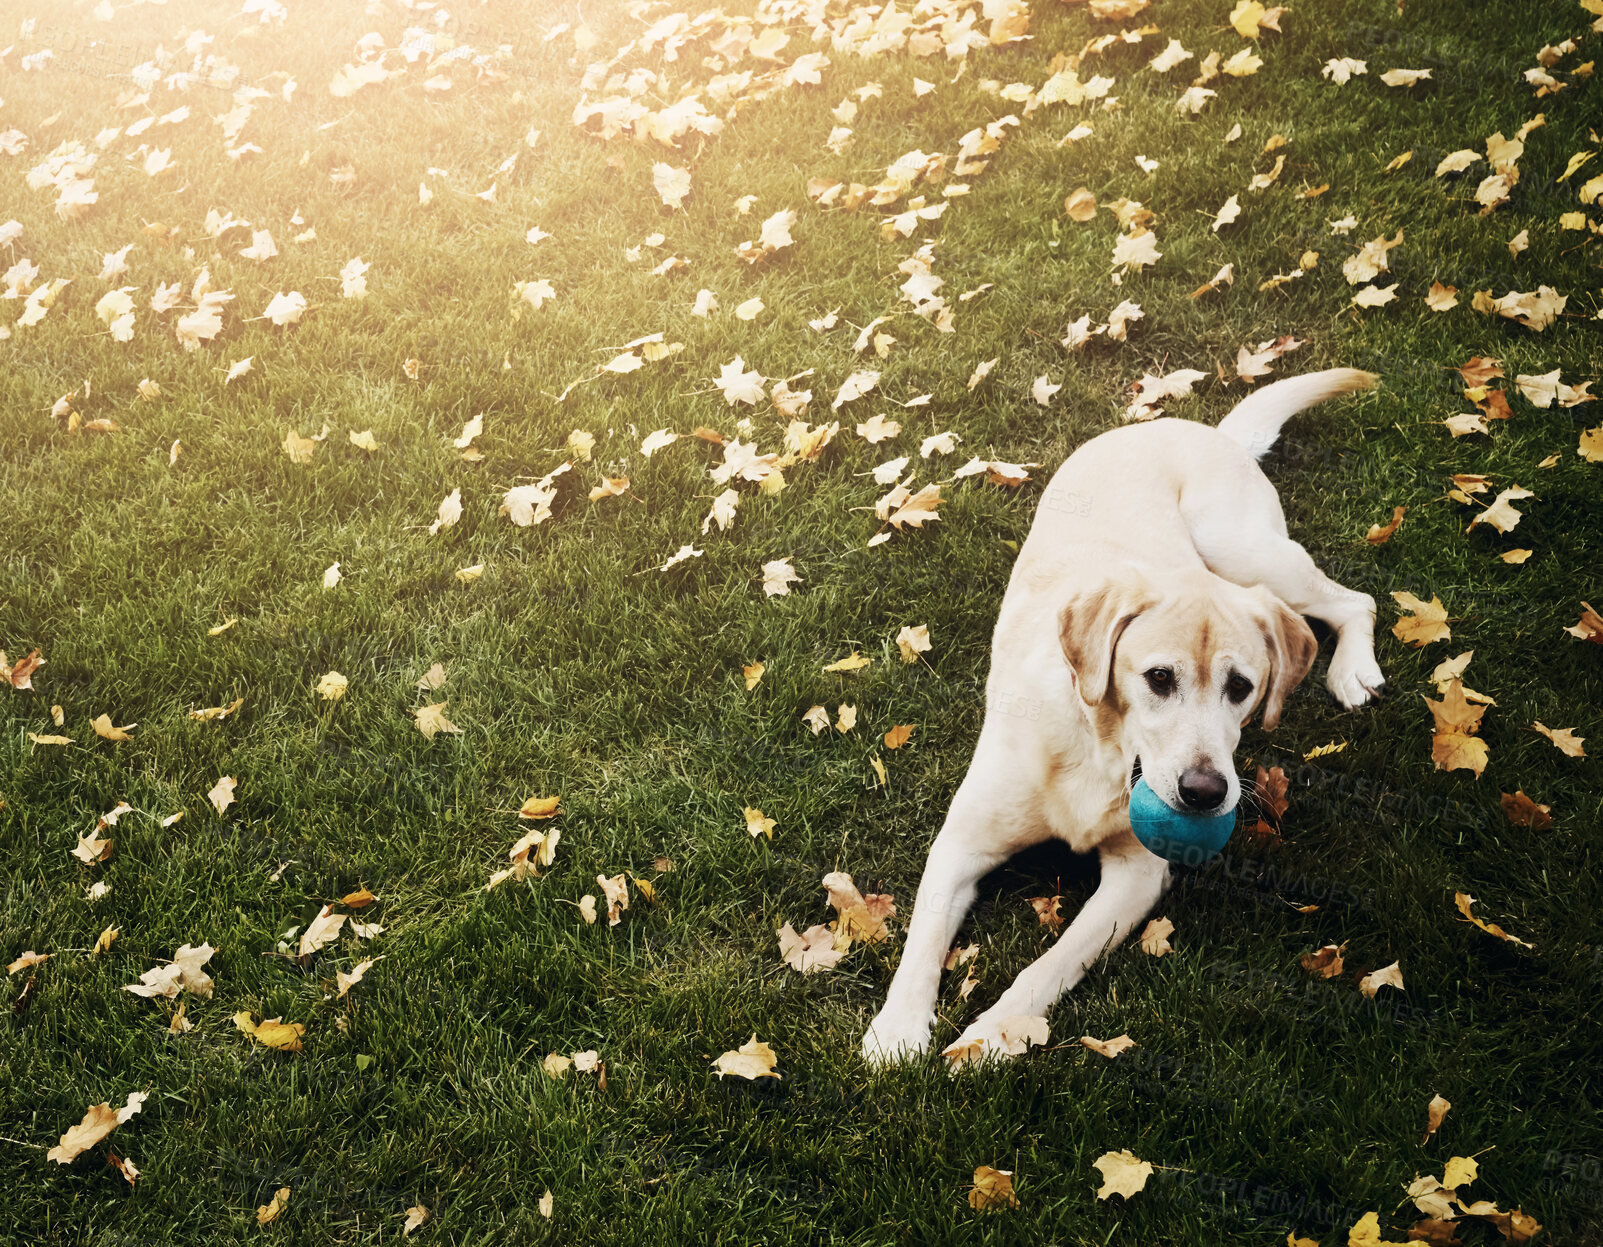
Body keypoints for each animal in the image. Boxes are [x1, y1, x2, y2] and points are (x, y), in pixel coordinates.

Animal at [865, 367, 1378, 1057]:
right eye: (1158, 679)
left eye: (1241, 687)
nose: (1204, 792)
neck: (1099, 750)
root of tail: (1201, 429)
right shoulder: (962, 841)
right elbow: (921, 942)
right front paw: (896, 1031)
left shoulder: (1138, 875)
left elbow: (1052, 962)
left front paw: (992, 1036)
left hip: (1245, 550)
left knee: (1356, 601)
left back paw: (1355, 670)